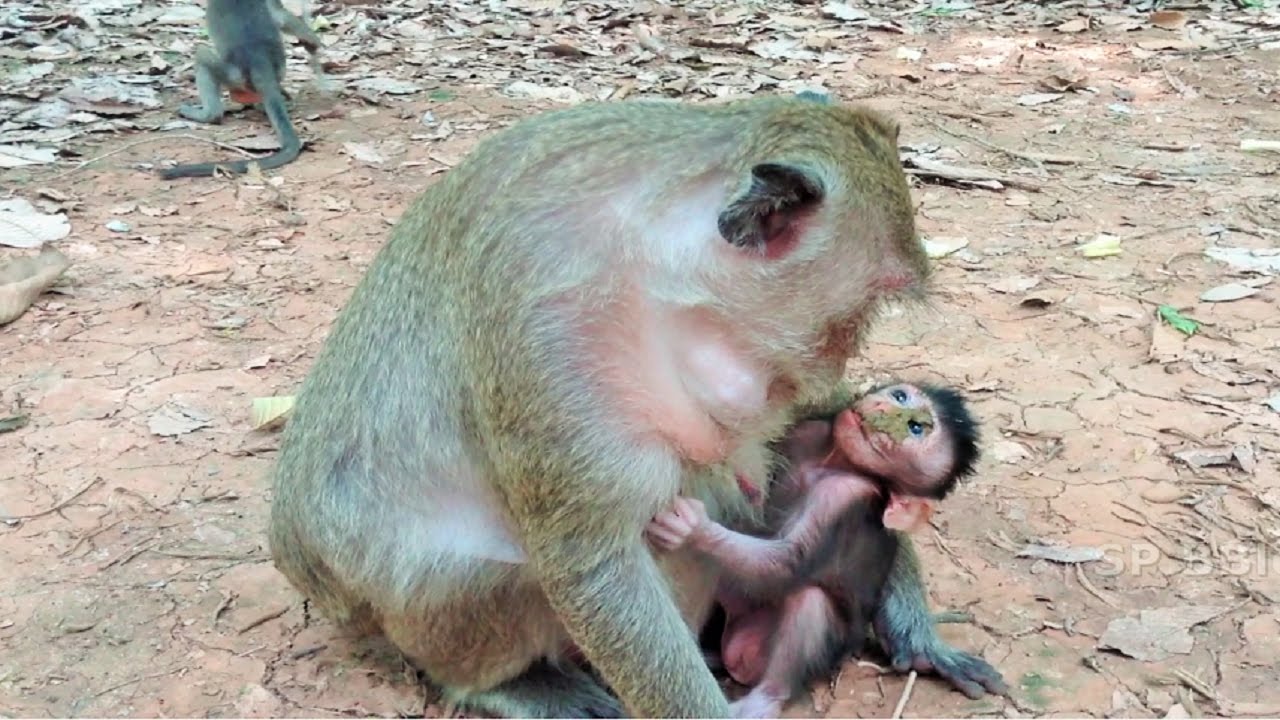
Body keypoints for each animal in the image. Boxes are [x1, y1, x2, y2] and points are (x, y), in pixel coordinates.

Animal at [159, 0, 324, 179]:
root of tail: (259, 60)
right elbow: (281, 16)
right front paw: (313, 42)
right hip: (279, 68)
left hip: (233, 76)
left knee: (202, 55)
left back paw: (206, 114)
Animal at [267, 91, 940, 718]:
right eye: (865, 311)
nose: (835, 362)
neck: (652, 259)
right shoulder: (546, 317)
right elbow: (589, 559)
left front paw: (904, 610)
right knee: (482, 573)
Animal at [648, 381, 1007, 717]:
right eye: (901, 397)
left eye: (916, 428)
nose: (885, 409)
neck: (830, 460)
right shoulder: (805, 434)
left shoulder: (841, 493)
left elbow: (787, 562)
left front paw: (693, 528)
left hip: (789, 651)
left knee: (810, 601)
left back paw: (767, 696)